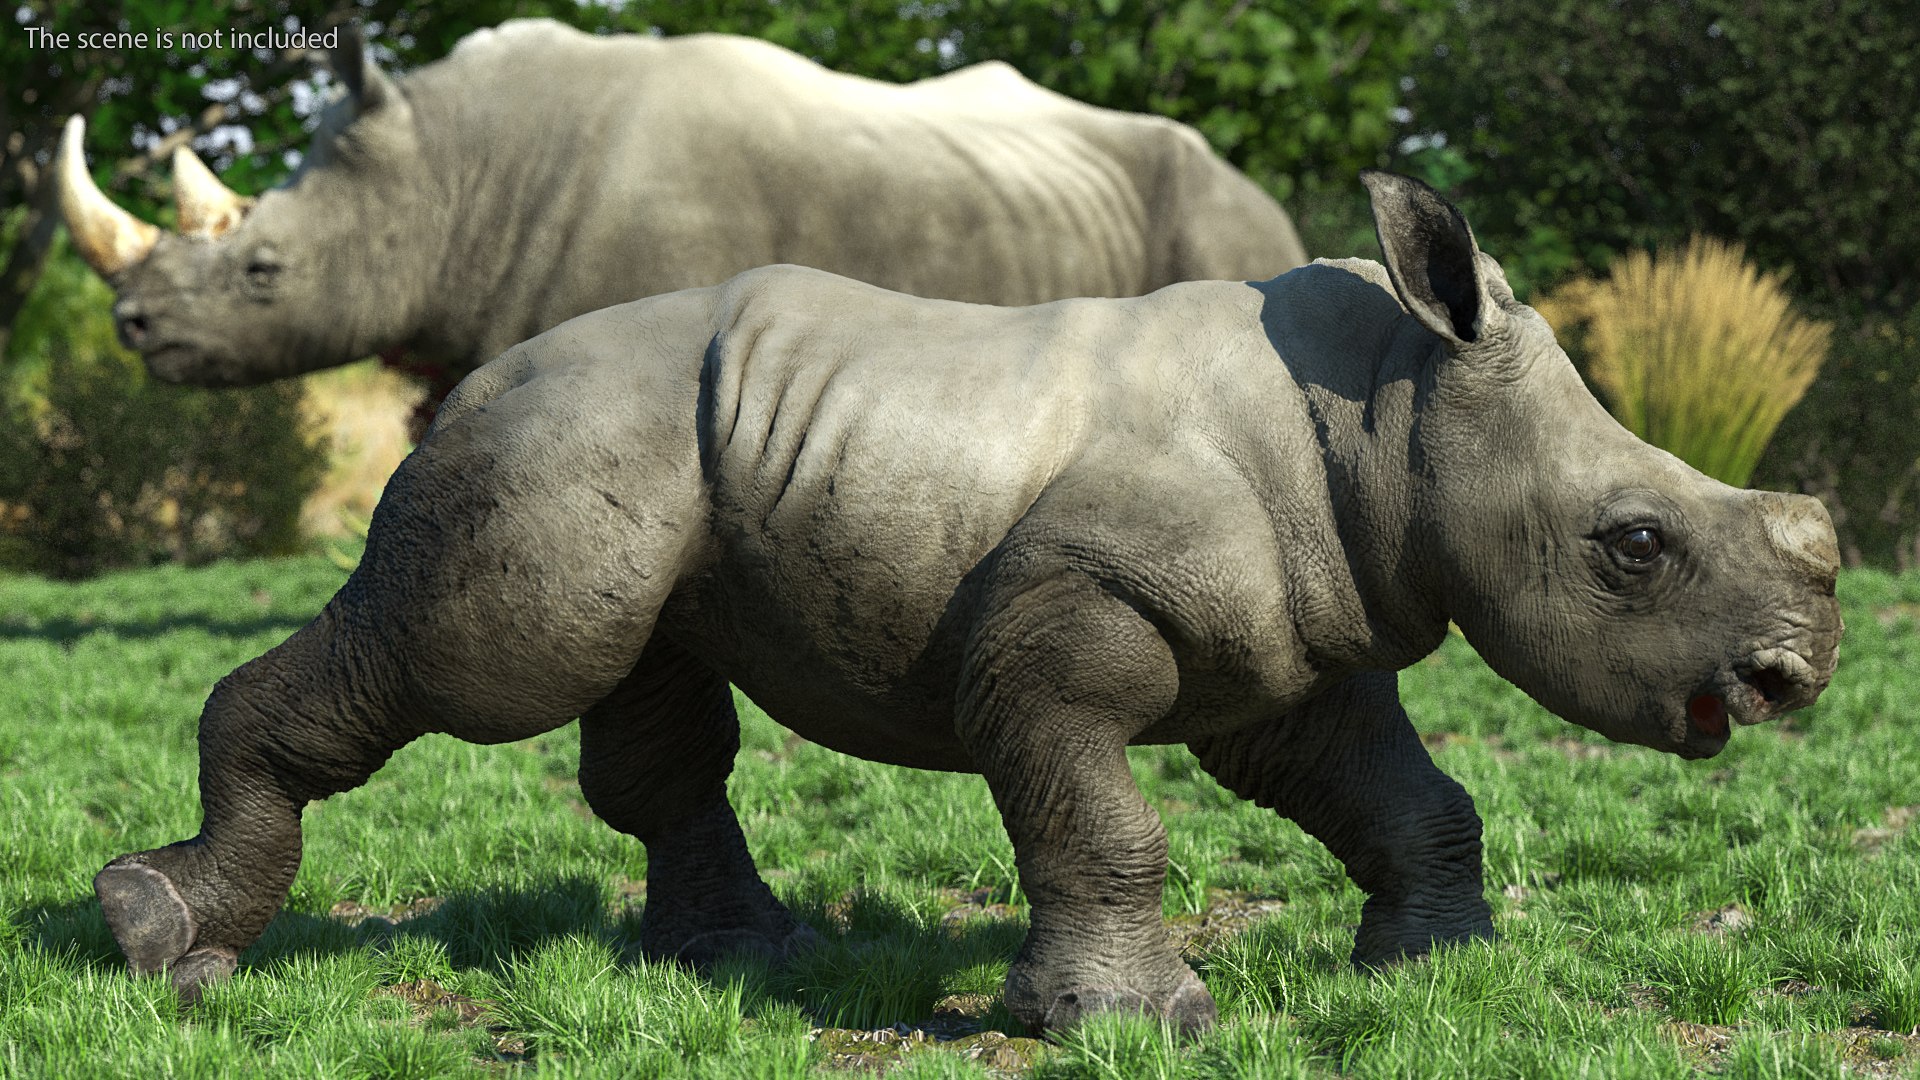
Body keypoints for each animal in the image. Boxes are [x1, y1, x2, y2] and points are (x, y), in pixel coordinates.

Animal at [93, 173, 1841, 1029]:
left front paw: (1440, 974)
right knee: (486, 670)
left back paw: (744, 967)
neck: (1389, 416)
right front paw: (1130, 1024)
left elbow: (1411, 799)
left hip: (662, 447)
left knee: (650, 692)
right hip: (552, 440)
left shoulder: (1295, 639)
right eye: (1634, 547)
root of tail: (466, 377)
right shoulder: (1071, 610)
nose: (1795, 680)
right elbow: (1103, 812)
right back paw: (160, 941)